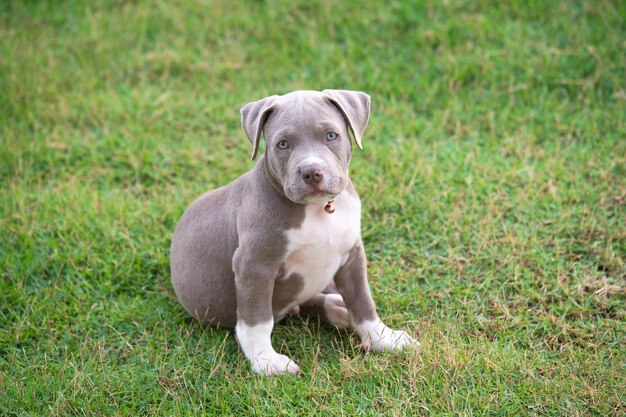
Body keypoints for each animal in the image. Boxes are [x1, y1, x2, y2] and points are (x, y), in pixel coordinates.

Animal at [168, 90, 416, 374]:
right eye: (283, 144)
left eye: (331, 135)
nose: (311, 172)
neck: (318, 209)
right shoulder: (254, 266)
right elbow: (257, 319)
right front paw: (266, 360)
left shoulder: (352, 255)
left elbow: (362, 300)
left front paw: (383, 338)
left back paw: (337, 309)